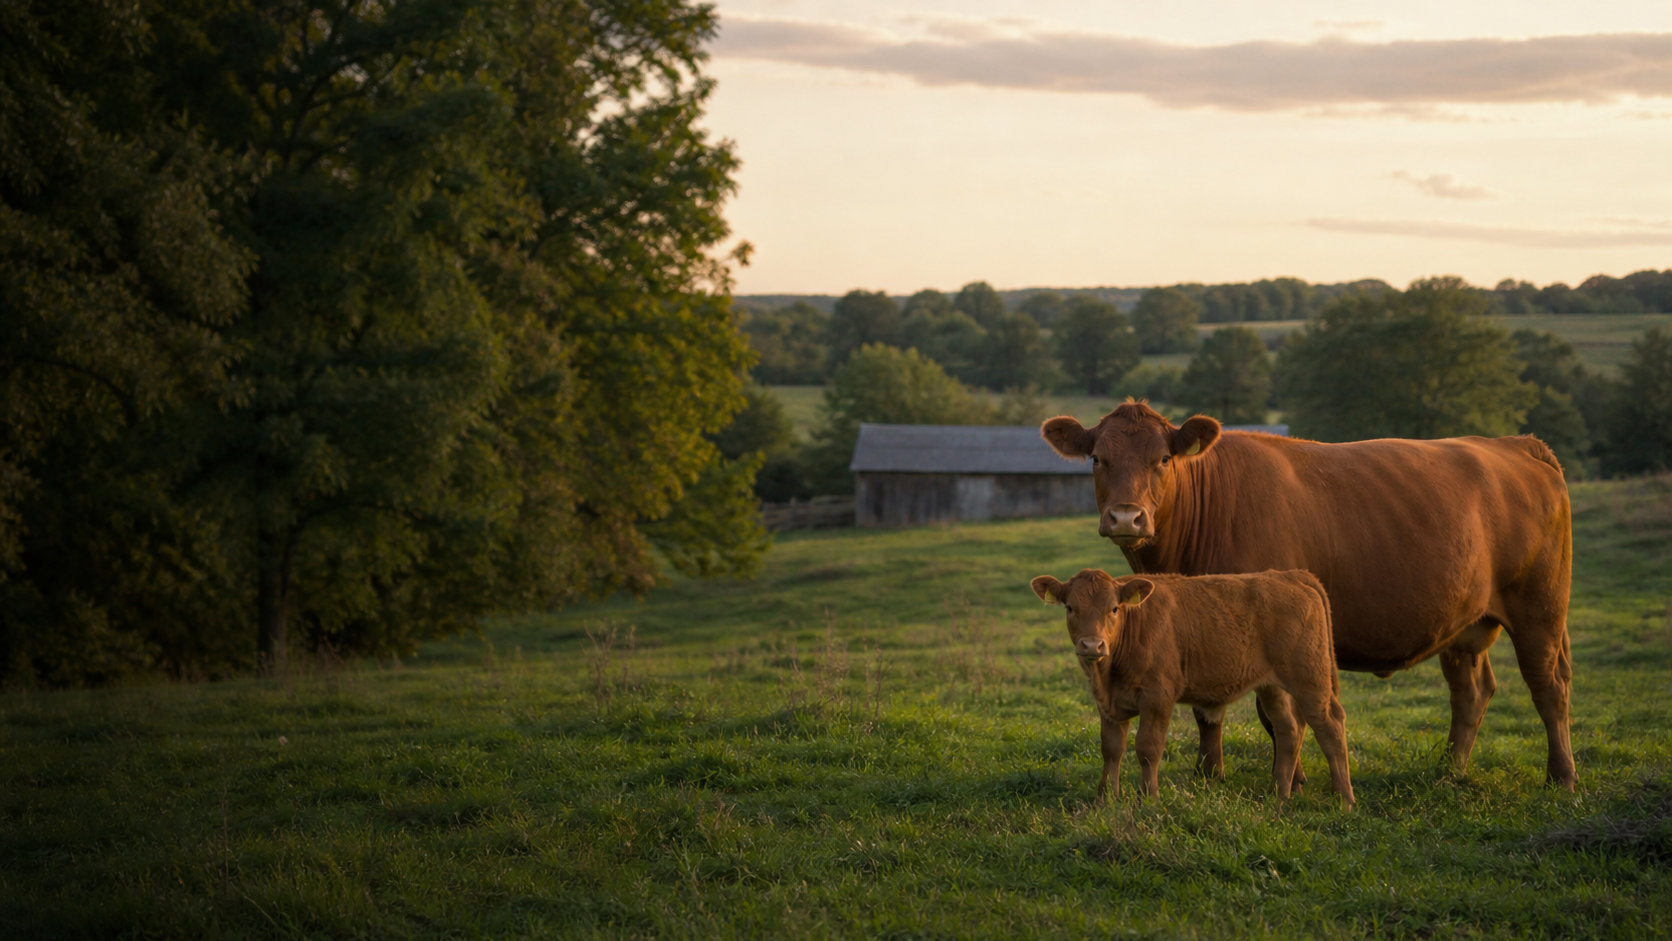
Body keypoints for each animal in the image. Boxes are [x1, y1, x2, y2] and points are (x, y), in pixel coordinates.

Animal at [1032, 568, 1354, 807]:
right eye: (1070, 608)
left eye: (1114, 609)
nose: (1092, 645)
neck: (1109, 675)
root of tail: (1286, 575)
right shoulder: (1108, 706)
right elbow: (1111, 750)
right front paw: (1105, 800)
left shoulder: (1158, 698)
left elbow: (1148, 747)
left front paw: (1147, 799)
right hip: (1272, 687)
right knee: (1289, 728)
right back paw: (1278, 793)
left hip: (1310, 679)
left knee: (1330, 725)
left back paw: (1344, 799)